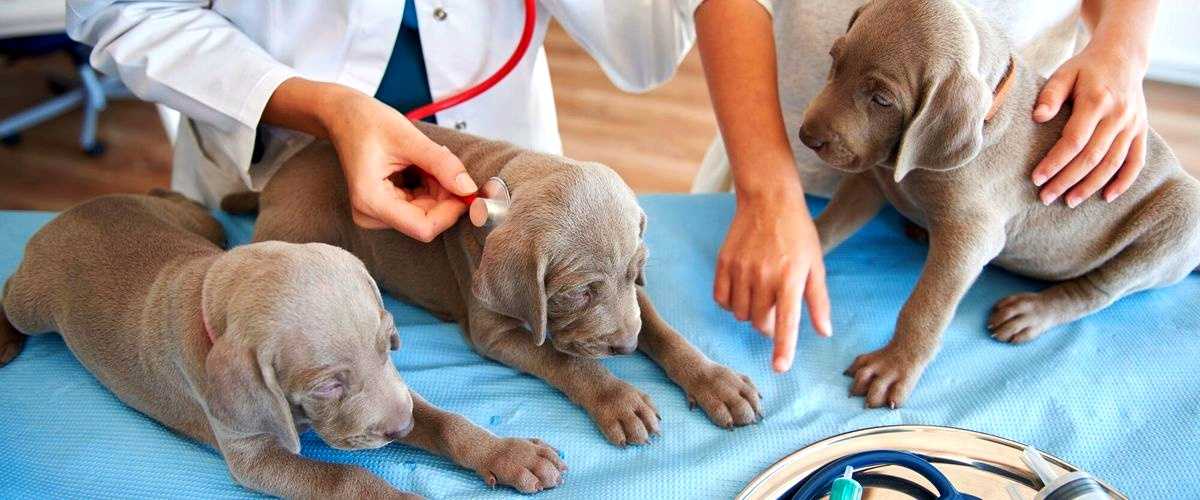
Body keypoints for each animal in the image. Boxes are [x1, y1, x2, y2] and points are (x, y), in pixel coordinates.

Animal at [0, 189, 566, 494]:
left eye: (390, 345)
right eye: (328, 386)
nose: (400, 428)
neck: (213, 291)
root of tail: (77, 209)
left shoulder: (399, 392)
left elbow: (447, 421)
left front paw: (509, 455)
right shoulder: (253, 457)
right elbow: (348, 480)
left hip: (193, 223)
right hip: (34, 302)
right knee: (8, 295)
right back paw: (5, 339)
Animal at [226, 121, 758, 443]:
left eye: (635, 272)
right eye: (576, 293)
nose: (625, 348)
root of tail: (278, 178)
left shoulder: (636, 298)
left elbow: (663, 331)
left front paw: (716, 381)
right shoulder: (494, 333)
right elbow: (564, 361)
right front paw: (618, 399)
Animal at [796, 0, 1200, 407]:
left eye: (882, 99)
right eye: (835, 59)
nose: (806, 136)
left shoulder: (970, 238)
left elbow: (926, 306)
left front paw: (893, 366)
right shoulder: (869, 179)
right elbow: (828, 225)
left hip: (1178, 219)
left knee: (1099, 290)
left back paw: (1031, 312)